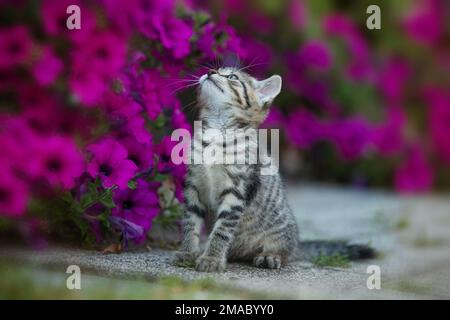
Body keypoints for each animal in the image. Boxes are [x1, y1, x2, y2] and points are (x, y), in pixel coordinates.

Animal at [172, 67, 372, 272]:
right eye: (216, 70)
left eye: (232, 77)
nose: (210, 72)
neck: (216, 133)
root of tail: (298, 244)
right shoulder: (193, 187)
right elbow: (189, 222)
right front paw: (189, 252)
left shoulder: (236, 192)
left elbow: (222, 230)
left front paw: (211, 258)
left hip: (281, 234)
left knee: (284, 252)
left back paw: (270, 256)